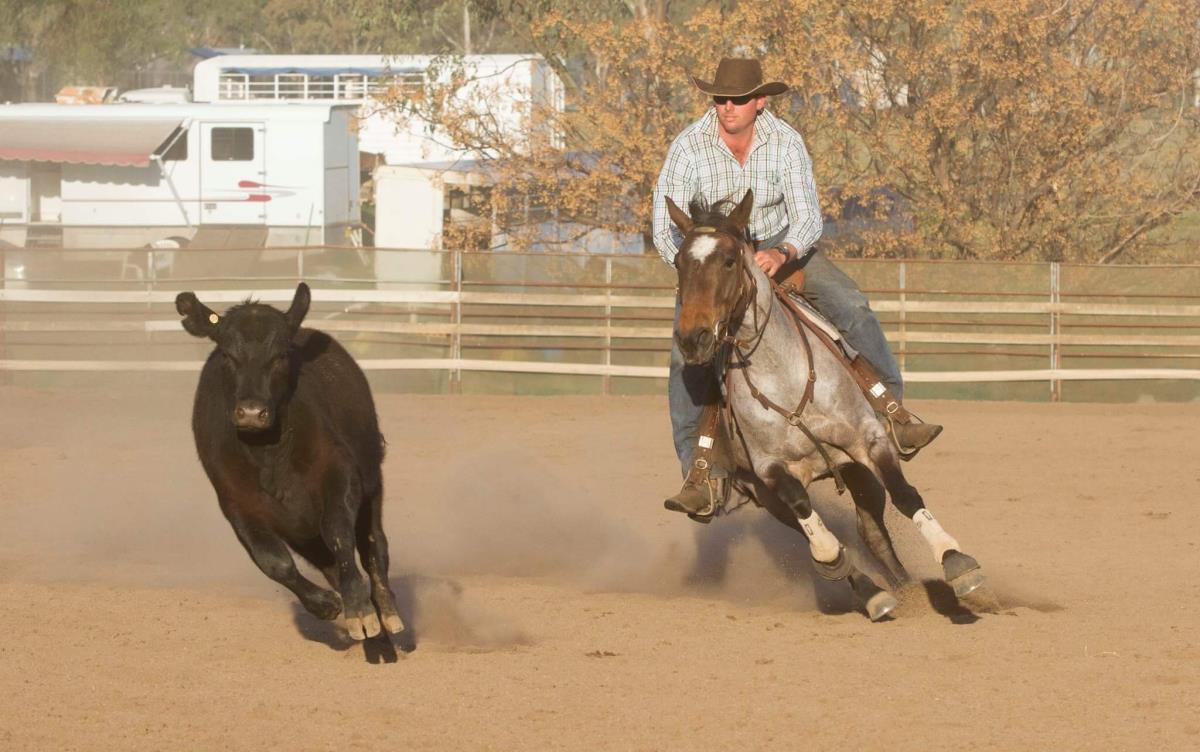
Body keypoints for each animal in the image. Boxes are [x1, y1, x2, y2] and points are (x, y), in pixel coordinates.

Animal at [175, 282, 404, 641]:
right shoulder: (236, 503)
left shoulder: (340, 473)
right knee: (326, 559)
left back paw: (386, 609)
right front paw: (326, 604)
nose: (251, 412)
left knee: (373, 547)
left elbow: (339, 533)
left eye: (280, 355)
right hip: (301, 532)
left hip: (371, 483)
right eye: (227, 354)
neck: (268, 454)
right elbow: (272, 561)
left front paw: (360, 609)